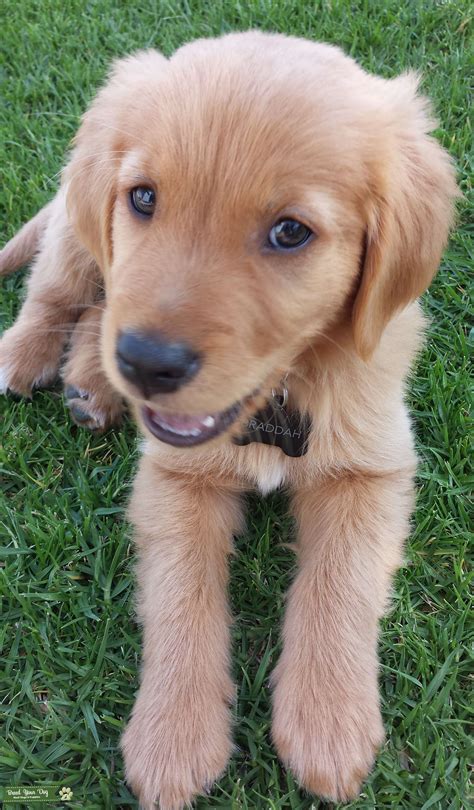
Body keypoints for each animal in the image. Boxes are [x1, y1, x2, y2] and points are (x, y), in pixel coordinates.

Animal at [0, 31, 460, 808]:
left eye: (290, 232)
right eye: (145, 197)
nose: (146, 363)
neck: (277, 395)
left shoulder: (372, 466)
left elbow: (341, 582)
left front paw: (328, 725)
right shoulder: (174, 477)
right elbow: (181, 595)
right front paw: (172, 739)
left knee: (99, 306)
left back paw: (90, 384)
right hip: (78, 223)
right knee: (61, 287)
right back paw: (27, 355)